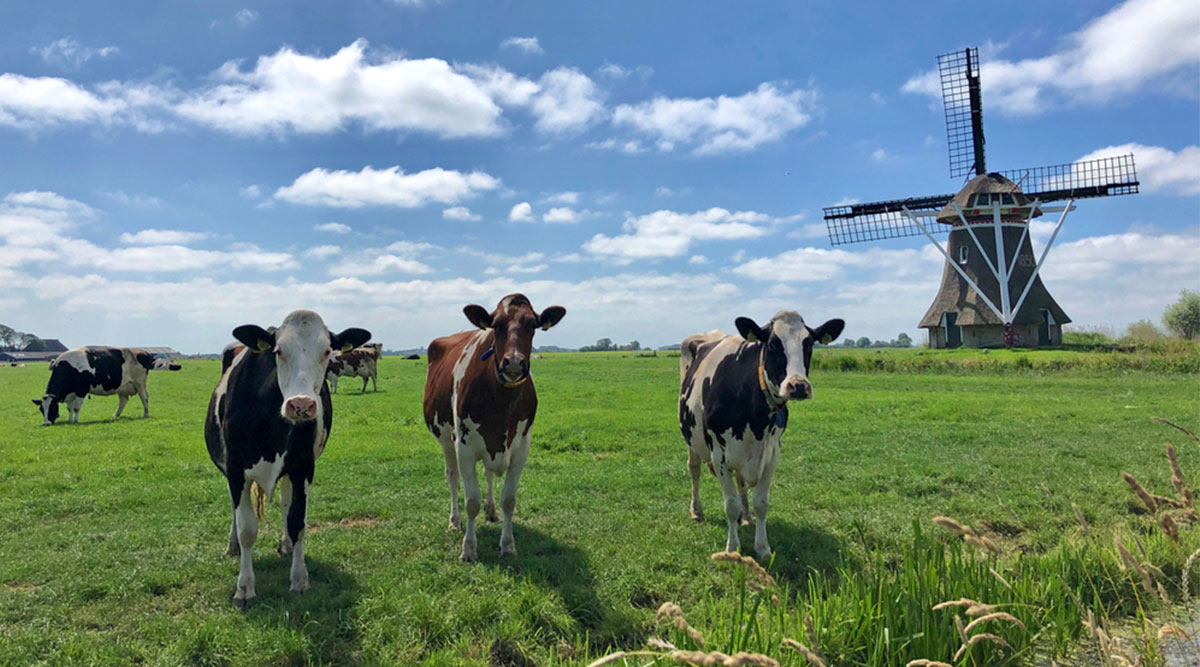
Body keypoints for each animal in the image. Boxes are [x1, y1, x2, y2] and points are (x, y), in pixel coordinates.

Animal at [32, 347, 167, 425]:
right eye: (41, 409)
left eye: (52, 407)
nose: (46, 423)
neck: (69, 366)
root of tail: (143, 352)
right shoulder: (71, 393)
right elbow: (70, 408)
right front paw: (70, 420)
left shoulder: (81, 390)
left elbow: (76, 408)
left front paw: (75, 421)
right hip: (122, 387)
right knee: (123, 401)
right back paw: (115, 416)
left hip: (140, 383)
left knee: (144, 398)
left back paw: (146, 414)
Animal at [204, 310, 370, 608]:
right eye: (279, 351)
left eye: (327, 351)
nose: (301, 405)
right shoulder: (235, 470)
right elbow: (247, 528)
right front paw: (244, 587)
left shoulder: (303, 467)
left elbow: (297, 521)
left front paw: (299, 579)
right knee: (236, 512)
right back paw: (233, 545)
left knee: (284, 503)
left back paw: (287, 544)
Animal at [423, 294, 565, 561]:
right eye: (496, 325)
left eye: (533, 325)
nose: (514, 362)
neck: (501, 404)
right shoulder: (464, 448)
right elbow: (471, 501)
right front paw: (468, 549)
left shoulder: (521, 449)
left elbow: (508, 500)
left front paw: (508, 545)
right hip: (446, 440)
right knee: (452, 477)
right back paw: (454, 521)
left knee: (488, 474)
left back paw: (490, 511)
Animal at [678, 311, 843, 559]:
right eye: (773, 344)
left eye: (808, 344)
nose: (798, 386)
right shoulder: (719, 455)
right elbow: (730, 504)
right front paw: (732, 547)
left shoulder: (772, 453)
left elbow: (761, 503)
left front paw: (763, 547)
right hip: (692, 440)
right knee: (694, 471)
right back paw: (697, 510)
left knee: (741, 481)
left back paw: (746, 517)